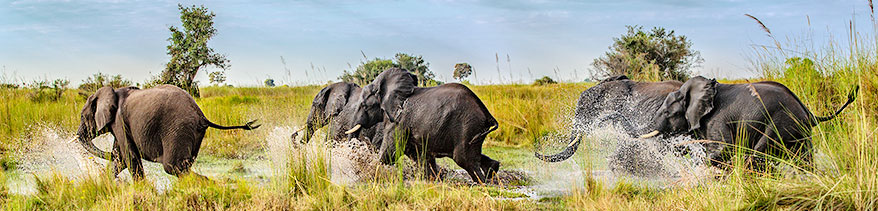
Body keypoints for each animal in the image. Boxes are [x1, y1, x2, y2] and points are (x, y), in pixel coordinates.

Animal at [75, 85, 262, 181]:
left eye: (83, 116)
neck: (110, 91)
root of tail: (201, 115)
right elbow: (120, 157)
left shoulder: (119, 121)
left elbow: (129, 156)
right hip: (194, 133)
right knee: (184, 166)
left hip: (178, 129)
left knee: (172, 167)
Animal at [346, 68, 502, 183]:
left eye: (364, 105)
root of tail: (487, 114)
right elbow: (417, 154)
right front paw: (433, 180)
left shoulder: (398, 120)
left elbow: (391, 152)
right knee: (472, 155)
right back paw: (492, 173)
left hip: (467, 125)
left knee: (463, 158)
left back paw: (483, 183)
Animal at [640, 76, 860, 168]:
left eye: (667, 112)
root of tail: (808, 112)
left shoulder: (716, 120)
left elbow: (723, 149)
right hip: (800, 131)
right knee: (805, 159)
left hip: (779, 123)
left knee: (760, 152)